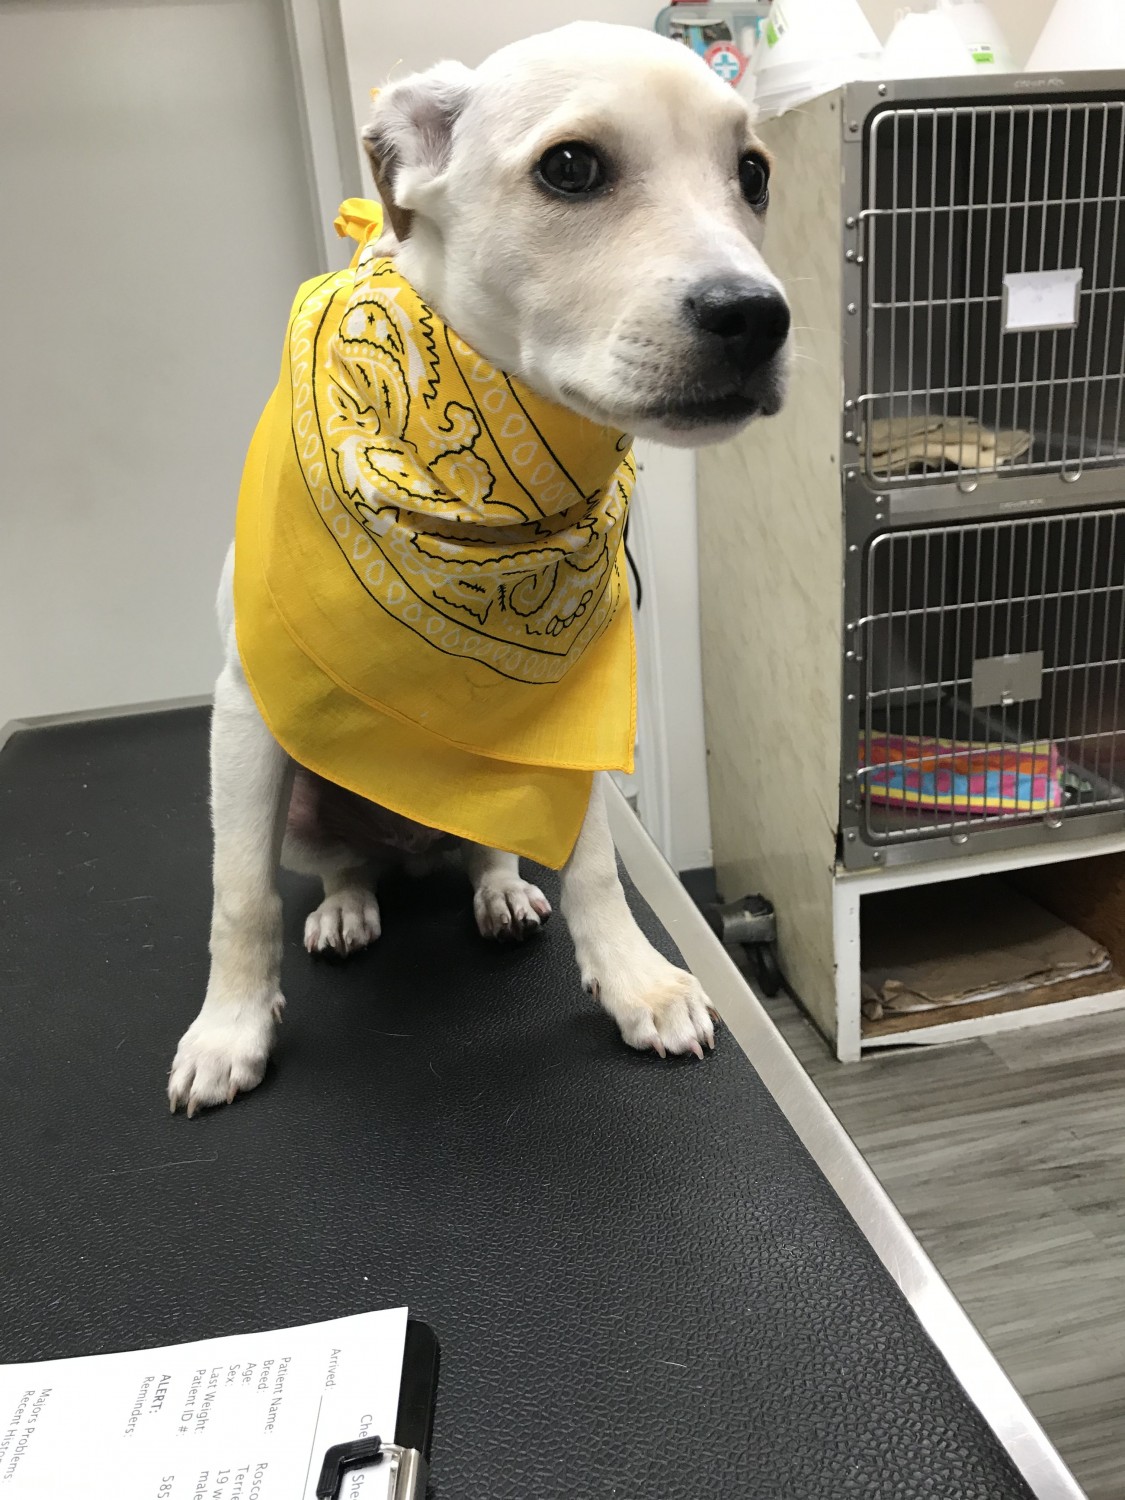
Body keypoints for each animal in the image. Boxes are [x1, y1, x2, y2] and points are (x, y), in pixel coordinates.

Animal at [169, 17, 792, 1110]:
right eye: (571, 167)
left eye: (752, 173)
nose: (758, 315)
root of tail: (414, 849)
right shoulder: (247, 708)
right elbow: (236, 895)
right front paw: (229, 1030)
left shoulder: (576, 727)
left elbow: (593, 867)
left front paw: (634, 982)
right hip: (300, 804)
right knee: (337, 868)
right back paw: (347, 907)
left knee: (492, 848)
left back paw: (498, 892)